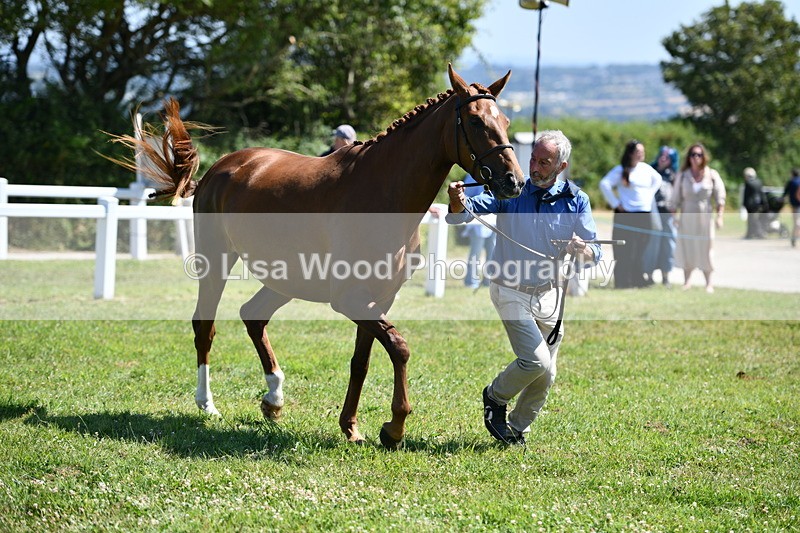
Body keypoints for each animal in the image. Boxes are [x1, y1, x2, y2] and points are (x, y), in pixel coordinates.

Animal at [113, 64, 524, 449]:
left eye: (505, 121)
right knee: (205, 326)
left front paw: (352, 427)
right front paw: (394, 427)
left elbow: (363, 360)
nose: (514, 181)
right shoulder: (349, 299)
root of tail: (220, 169)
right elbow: (399, 348)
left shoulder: (379, 297)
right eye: (475, 120)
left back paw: (274, 399)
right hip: (216, 262)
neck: (382, 191)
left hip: (285, 279)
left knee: (253, 316)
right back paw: (207, 403)